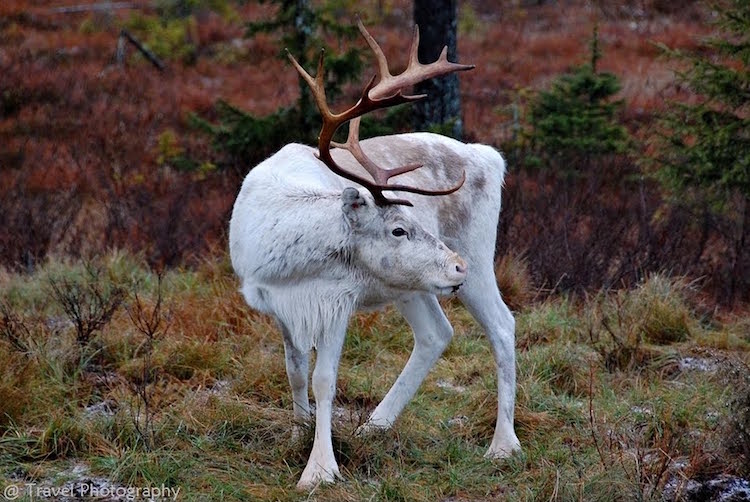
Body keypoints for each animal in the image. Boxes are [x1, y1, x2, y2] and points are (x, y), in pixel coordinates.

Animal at [229, 20, 521, 489]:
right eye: (398, 228)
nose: (456, 265)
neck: (287, 264)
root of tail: (492, 158)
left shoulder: (337, 301)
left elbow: (324, 379)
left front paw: (319, 469)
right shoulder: (278, 305)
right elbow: (294, 372)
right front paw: (297, 435)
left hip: (478, 253)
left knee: (502, 324)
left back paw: (502, 445)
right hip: (411, 285)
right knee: (437, 333)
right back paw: (375, 426)